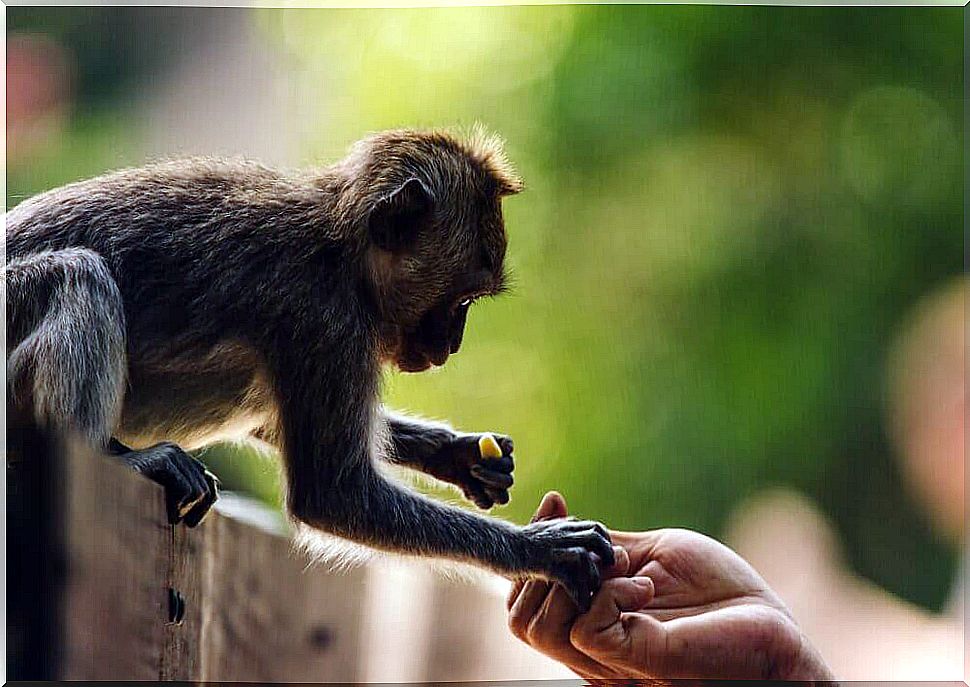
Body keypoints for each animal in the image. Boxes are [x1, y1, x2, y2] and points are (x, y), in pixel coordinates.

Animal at [5, 127, 612, 608]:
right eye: (460, 301)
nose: (453, 344)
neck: (340, 250)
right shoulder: (324, 318)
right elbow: (333, 493)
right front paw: (542, 551)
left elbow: (271, 423)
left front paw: (457, 455)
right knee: (77, 275)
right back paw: (110, 455)